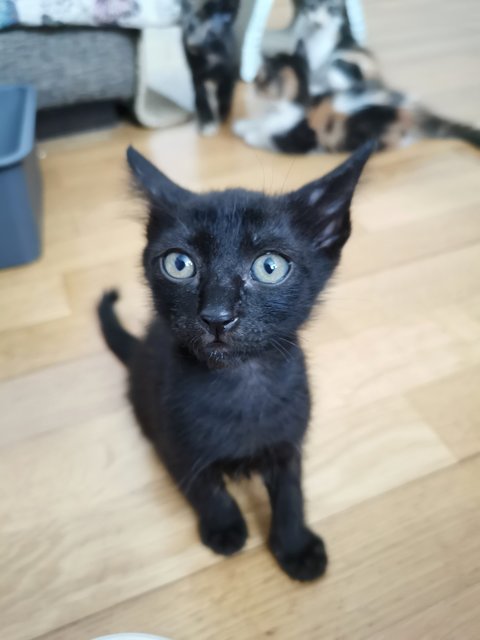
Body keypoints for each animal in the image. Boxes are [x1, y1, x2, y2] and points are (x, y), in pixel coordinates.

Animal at [98, 142, 376, 584]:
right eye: (179, 264)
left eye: (269, 267)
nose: (217, 315)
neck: (240, 382)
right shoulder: (174, 441)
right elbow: (205, 486)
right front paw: (225, 528)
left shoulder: (289, 440)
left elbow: (291, 492)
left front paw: (295, 547)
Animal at [181, 0, 239, 135]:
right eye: (189, 27)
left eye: (211, 31)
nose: (192, 44)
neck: (210, 53)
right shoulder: (196, 74)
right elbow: (201, 95)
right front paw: (207, 120)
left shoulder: (230, 69)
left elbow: (225, 91)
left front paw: (224, 111)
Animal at [233, 40, 480, 154]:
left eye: (259, 78)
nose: (251, 84)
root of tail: (416, 111)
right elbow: (258, 122)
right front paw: (242, 125)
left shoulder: (297, 141)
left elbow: (265, 136)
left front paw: (249, 134)